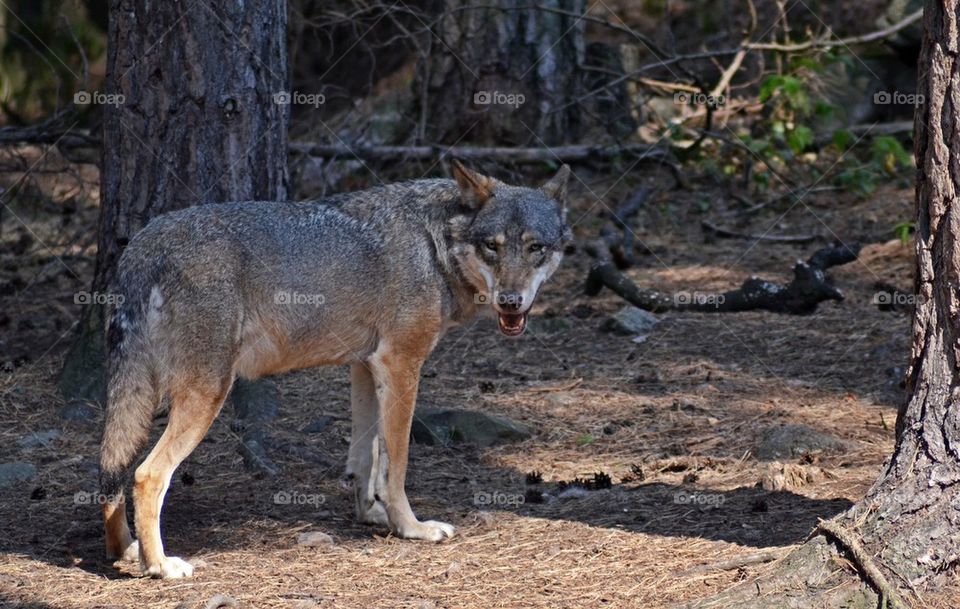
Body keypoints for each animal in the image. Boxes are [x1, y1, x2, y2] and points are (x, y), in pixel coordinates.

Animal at [97, 161, 572, 578]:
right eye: (493, 247)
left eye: (536, 248)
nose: (511, 302)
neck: (434, 243)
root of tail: (144, 243)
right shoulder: (400, 364)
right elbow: (397, 463)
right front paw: (411, 528)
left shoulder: (365, 366)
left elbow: (365, 457)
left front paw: (372, 516)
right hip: (207, 394)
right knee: (146, 475)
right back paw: (160, 566)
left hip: (143, 398)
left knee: (112, 470)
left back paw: (125, 550)